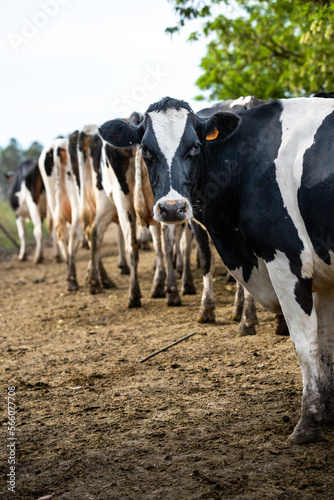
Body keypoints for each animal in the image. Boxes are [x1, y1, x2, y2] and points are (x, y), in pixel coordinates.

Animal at [38, 137, 83, 292]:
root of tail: (59, 145)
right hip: (77, 202)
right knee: (75, 234)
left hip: (54, 204)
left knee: (61, 236)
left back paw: (70, 279)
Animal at [100, 95, 334, 444]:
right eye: (146, 151)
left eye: (195, 146)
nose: (172, 208)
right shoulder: (323, 276)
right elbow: (326, 343)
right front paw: (328, 412)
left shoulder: (287, 260)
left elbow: (306, 344)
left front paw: (308, 423)